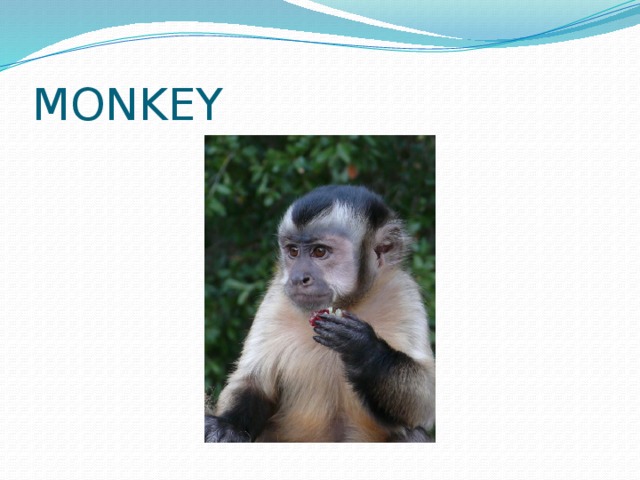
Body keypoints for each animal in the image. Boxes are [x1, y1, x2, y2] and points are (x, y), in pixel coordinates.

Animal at [205, 185, 435, 442]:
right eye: (293, 251)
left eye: (319, 252)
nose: (298, 278)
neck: (351, 302)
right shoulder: (277, 298)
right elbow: (253, 383)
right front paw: (227, 426)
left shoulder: (402, 293)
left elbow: (425, 403)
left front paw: (363, 347)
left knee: (412, 433)